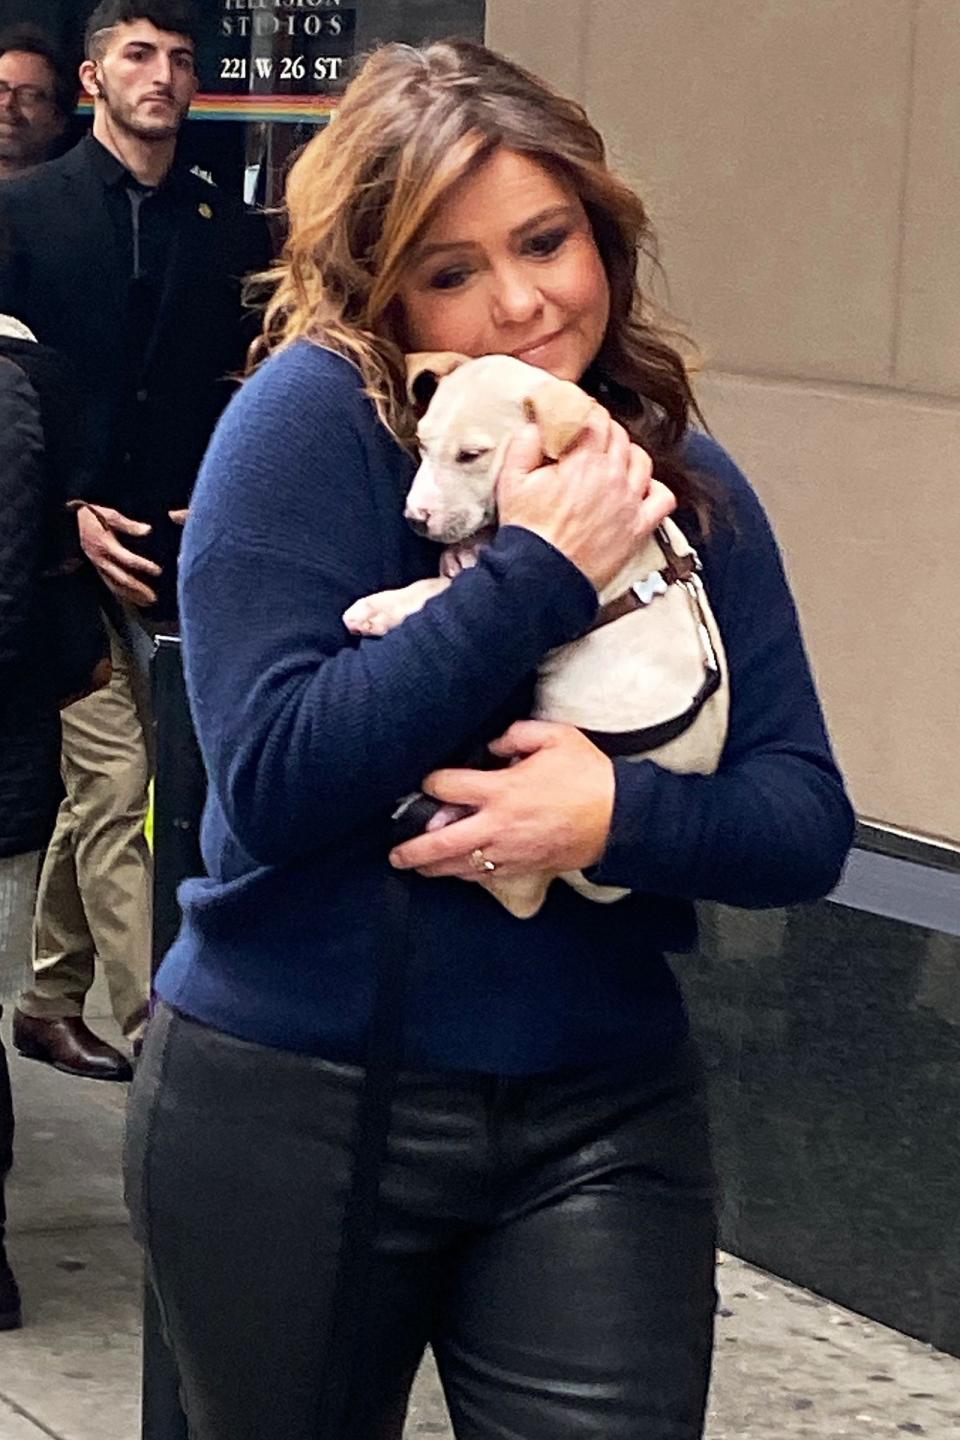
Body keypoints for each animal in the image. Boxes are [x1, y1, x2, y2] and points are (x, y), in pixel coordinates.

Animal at [345, 349, 728, 915]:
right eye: (423, 444)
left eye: (471, 455)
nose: (416, 519)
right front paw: (463, 551)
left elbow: (435, 591)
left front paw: (379, 608)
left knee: (519, 896)